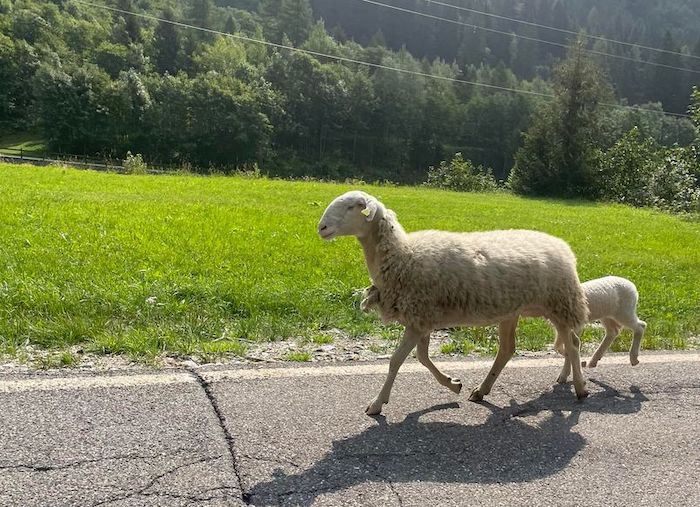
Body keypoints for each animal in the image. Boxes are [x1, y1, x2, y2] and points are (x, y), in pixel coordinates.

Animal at [318, 190, 589, 415]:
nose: (321, 227)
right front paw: (452, 384)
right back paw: (482, 390)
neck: (403, 256)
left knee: (572, 343)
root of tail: (564, 247)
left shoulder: (418, 317)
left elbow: (396, 361)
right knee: (508, 349)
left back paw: (580, 388)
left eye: (354, 206)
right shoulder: (421, 317)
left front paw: (376, 404)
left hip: (560, 301)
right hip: (515, 311)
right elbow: (422, 358)